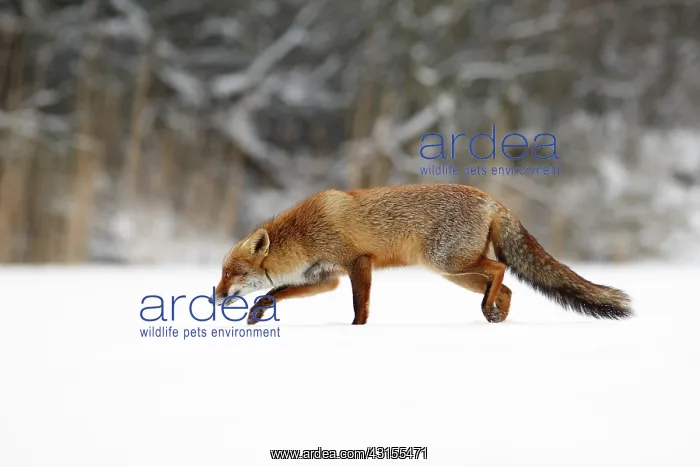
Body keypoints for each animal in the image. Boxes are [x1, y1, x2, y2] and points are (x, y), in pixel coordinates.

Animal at [212, 183, 632, 325]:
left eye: (231, 273)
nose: (215, 295)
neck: (305, 235)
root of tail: (491, 199)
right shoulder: (326, 278)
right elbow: (273, 293)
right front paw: (256, 314)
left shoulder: (358, 262)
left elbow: (359, 307)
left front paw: (356, 333)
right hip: (455, 273)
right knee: (508, 288)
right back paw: (496, 318)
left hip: (449, 262)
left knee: (501, 269)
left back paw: (490, 312)